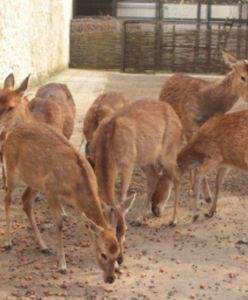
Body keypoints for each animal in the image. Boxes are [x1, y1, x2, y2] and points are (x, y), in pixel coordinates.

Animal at [0, 76, 120, 282]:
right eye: (103, 254)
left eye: (117, 251)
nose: (110, 278)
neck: (76, 185)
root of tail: (12, 132)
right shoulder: (51, 191)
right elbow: (59, 223)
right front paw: (62, 265)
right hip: (13, 171)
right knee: (7, 198)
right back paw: (8, 242)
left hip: (34, 180)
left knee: (25, 200)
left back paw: (43, 246)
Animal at [90, 99, 183, 247]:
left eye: (125, 230)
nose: (120, 245)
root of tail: (177, 118)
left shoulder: (128, 164)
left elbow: (122, 197)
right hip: (146, 159)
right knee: (154, 177)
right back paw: (139, 219)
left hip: (168, 154)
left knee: (177, 176)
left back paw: (174, 221)